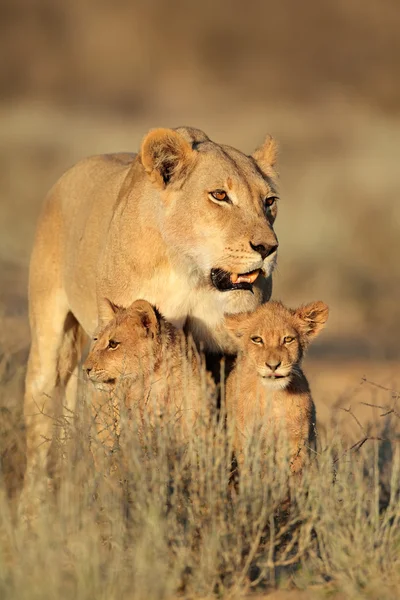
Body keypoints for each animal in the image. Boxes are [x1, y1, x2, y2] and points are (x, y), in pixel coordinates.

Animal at [21, 126, 278, 506]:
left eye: (269, 201)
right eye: (220, 195)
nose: (268, 248)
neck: (190, 270)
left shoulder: (225, 353)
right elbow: (111, 436)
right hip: (50, 336)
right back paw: (36, 508)